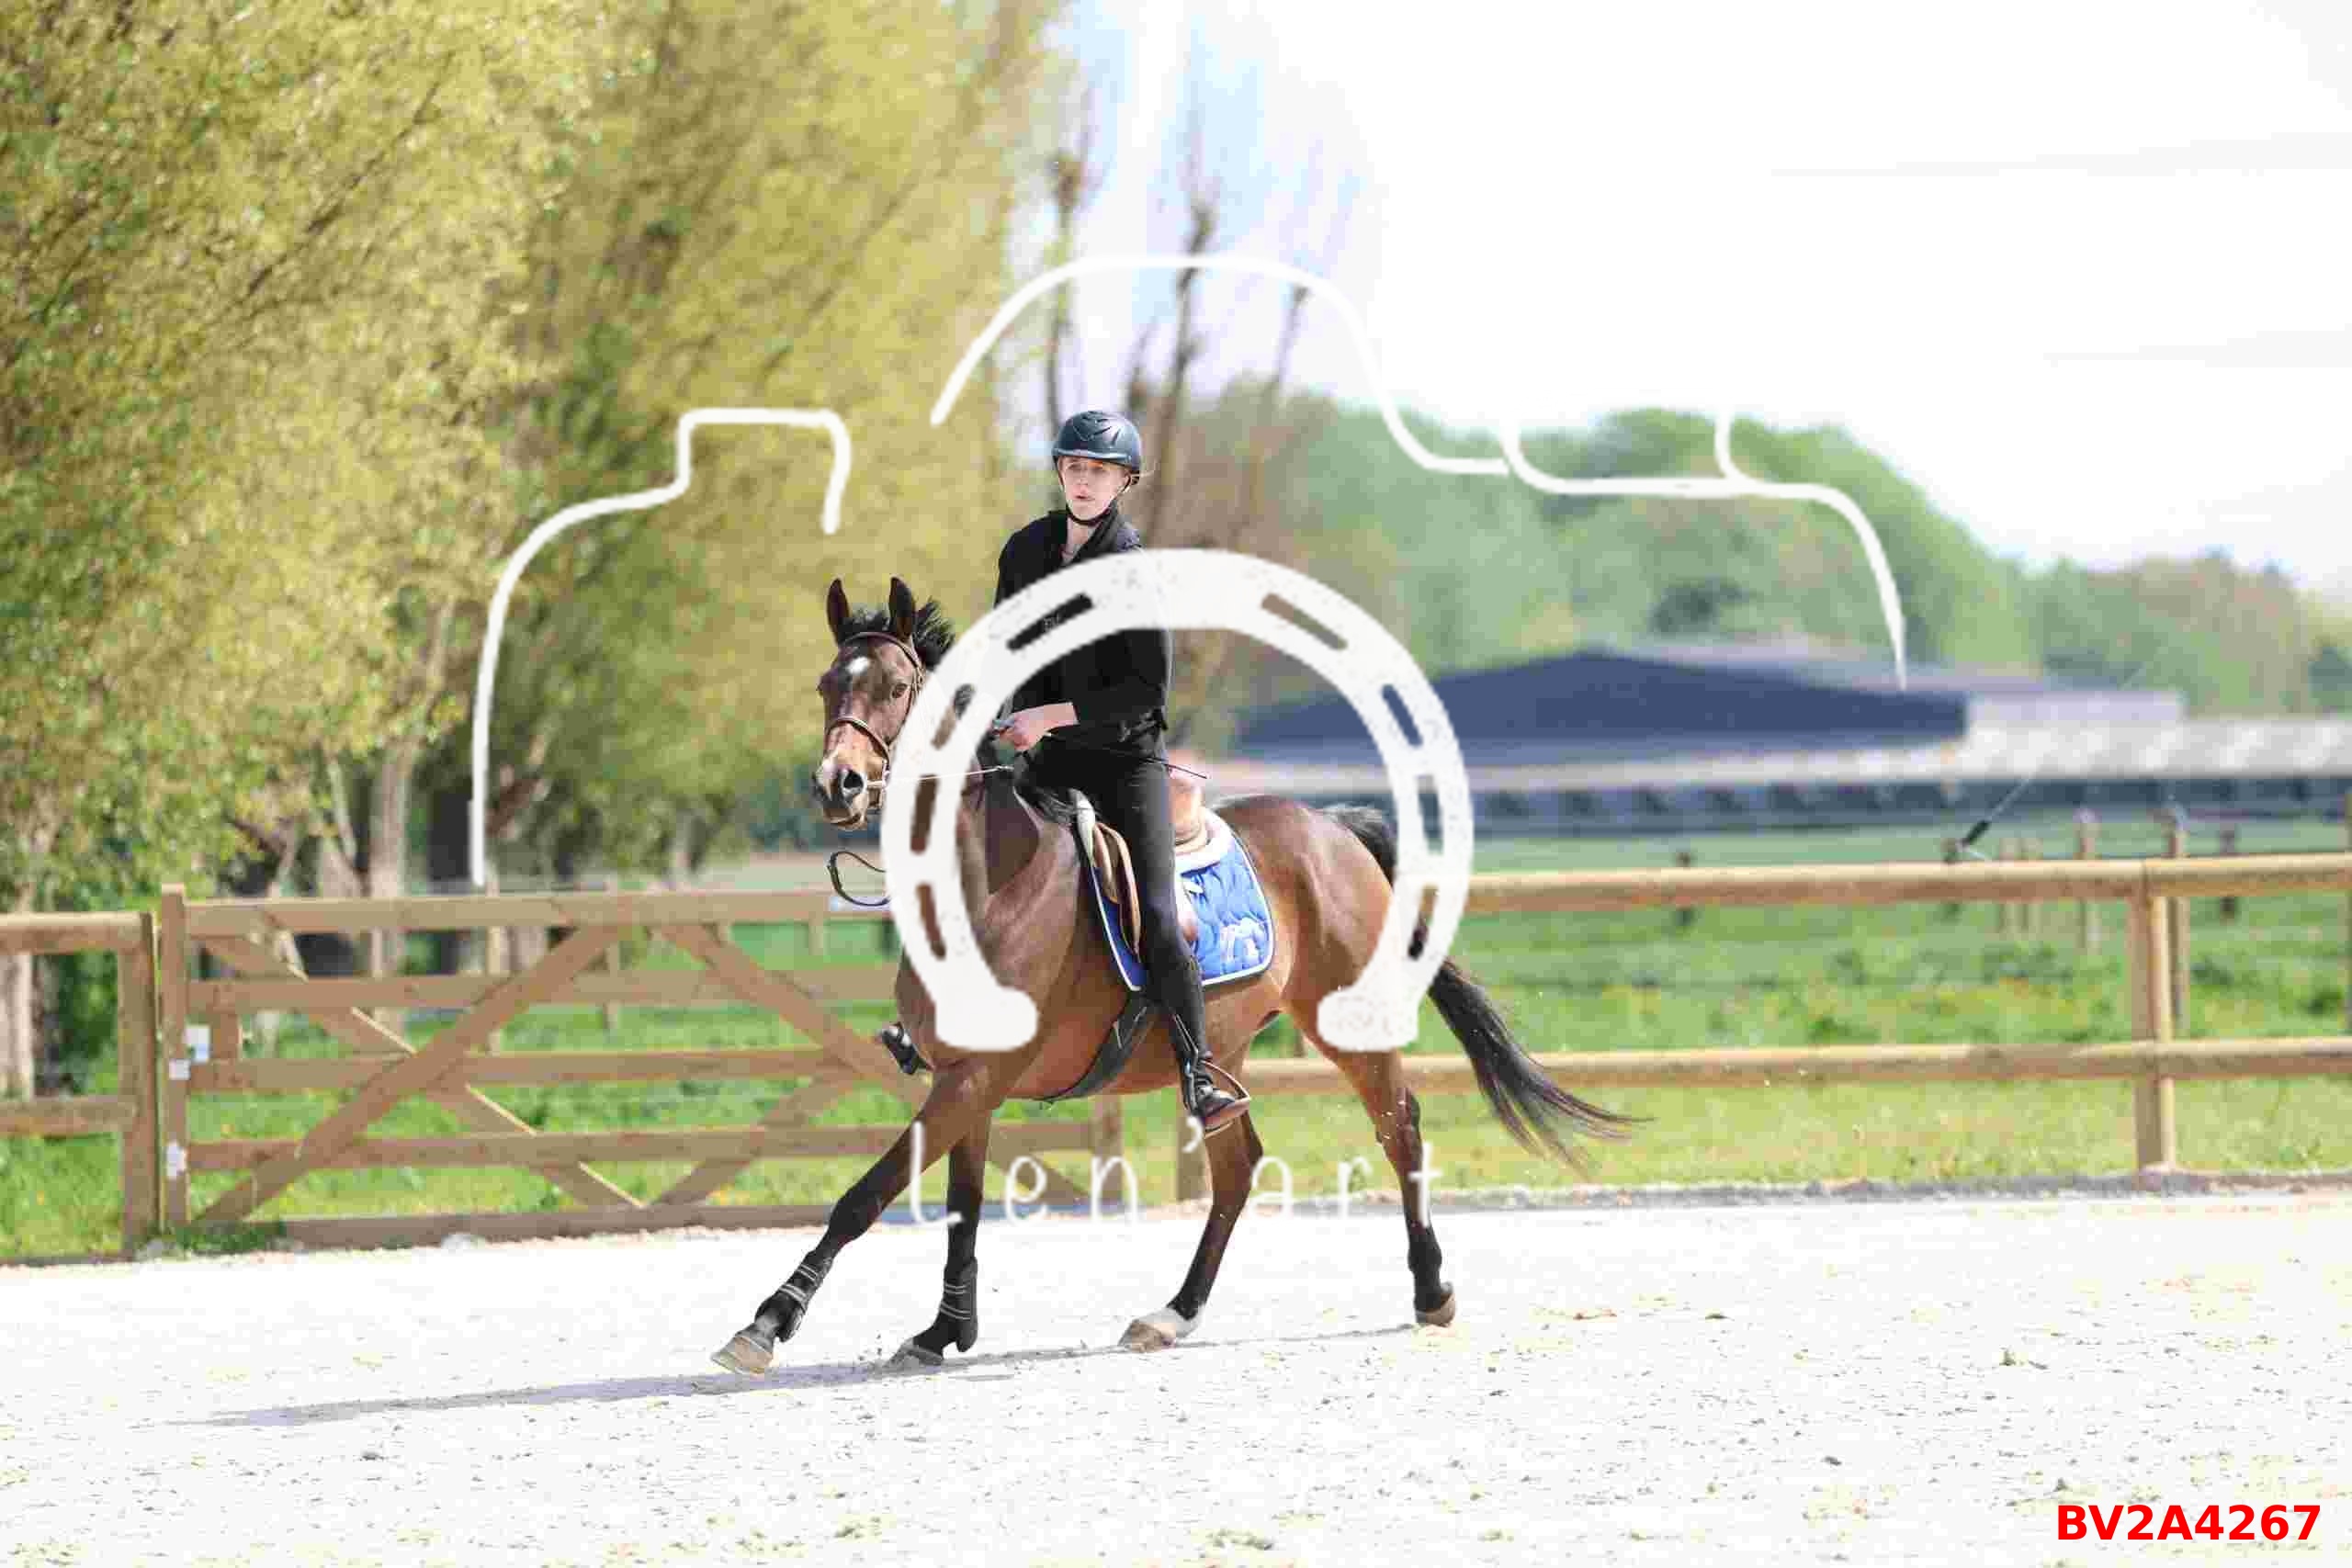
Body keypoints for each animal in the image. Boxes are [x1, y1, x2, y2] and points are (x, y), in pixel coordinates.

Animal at [710, 576, 1631, 1374]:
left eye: (900, 685)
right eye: (827, 684)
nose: (839, 783)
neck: (986, 881)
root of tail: (1332, 824)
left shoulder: (972, 1081)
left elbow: (865, 1195)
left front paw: (768, 1321)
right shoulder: (964, 1079)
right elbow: (961, 1209)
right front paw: (945, 1329)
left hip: (1349, 1024)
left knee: (1400, 1127)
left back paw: (1431, 1288)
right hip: (1224, 1048)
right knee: (1239, 1165)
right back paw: (1174, 1312)